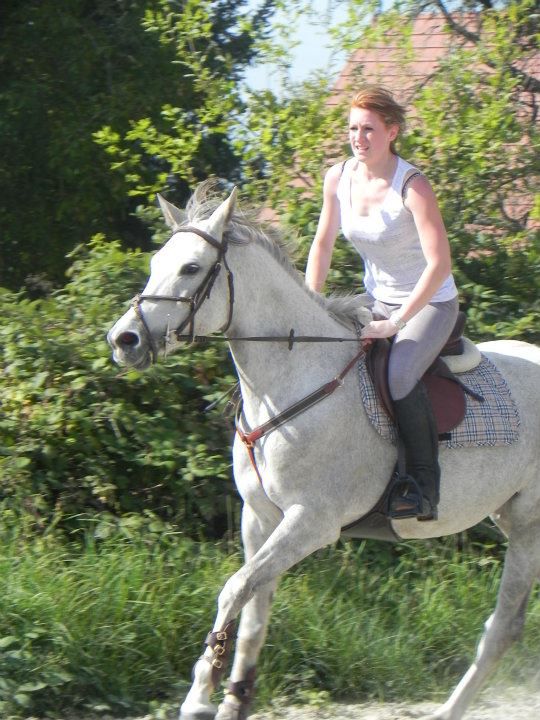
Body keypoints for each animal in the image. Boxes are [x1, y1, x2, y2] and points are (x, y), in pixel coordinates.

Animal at [107, 182, 540, 720]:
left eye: (190, 268)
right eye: (155, 262)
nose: (123, 340)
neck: (293, 380)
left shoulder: (311, 521)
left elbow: (234, 589)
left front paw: (199, 697)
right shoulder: (261, 519)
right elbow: (254, 610)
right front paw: (234, 699)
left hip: (529, 526)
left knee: (503, 628)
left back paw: (448, 711)